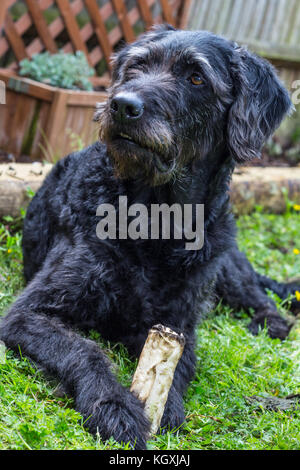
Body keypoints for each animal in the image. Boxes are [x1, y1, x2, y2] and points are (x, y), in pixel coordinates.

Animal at [0, 24, 300, 448]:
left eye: (196, 77)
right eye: (136, 66)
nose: (122, 105)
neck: (155, 220)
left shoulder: (179, 324)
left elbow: (180, 364)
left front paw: (167, 404)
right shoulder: (28, 314)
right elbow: (84, 348)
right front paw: (114, 405)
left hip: (224, 261)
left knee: (261, 297)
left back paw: (270, 321)